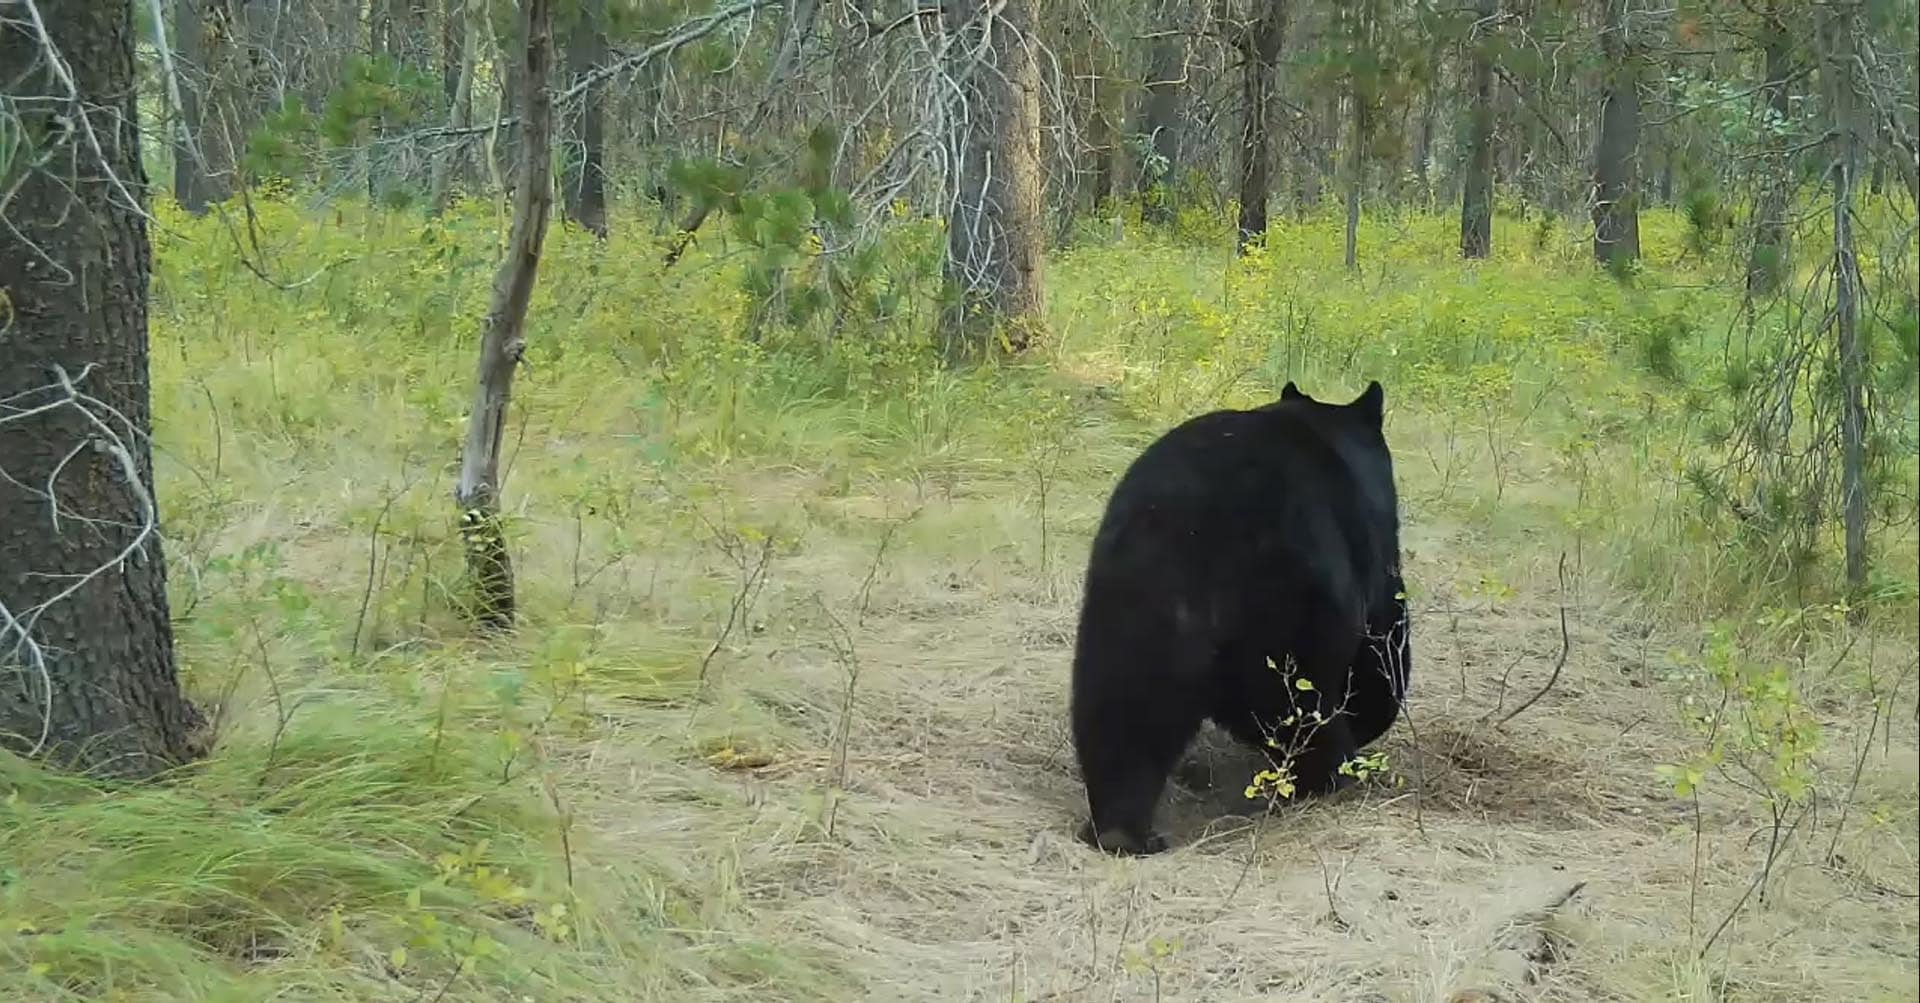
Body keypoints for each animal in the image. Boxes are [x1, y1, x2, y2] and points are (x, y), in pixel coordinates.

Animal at [1069, 380, 1410, 855]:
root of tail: (1192, 528)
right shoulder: (1371, 547)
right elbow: (1384, 649)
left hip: (1127, 612)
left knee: (1123, 714)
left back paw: (1122, 830)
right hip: (1289, 619)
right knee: (1299, 708)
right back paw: (1332, 777)